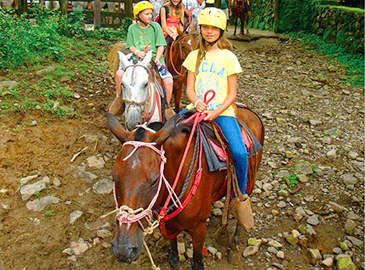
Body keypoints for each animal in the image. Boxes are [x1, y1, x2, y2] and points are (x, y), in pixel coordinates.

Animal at [106, 106, 264, 268]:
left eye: (155, 179)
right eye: (114, 177)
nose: (124, 249)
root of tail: (249, 112)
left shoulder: (199, 228)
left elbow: (197, 261)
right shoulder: (167, 225)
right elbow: (174, 255)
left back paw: (236, 240)